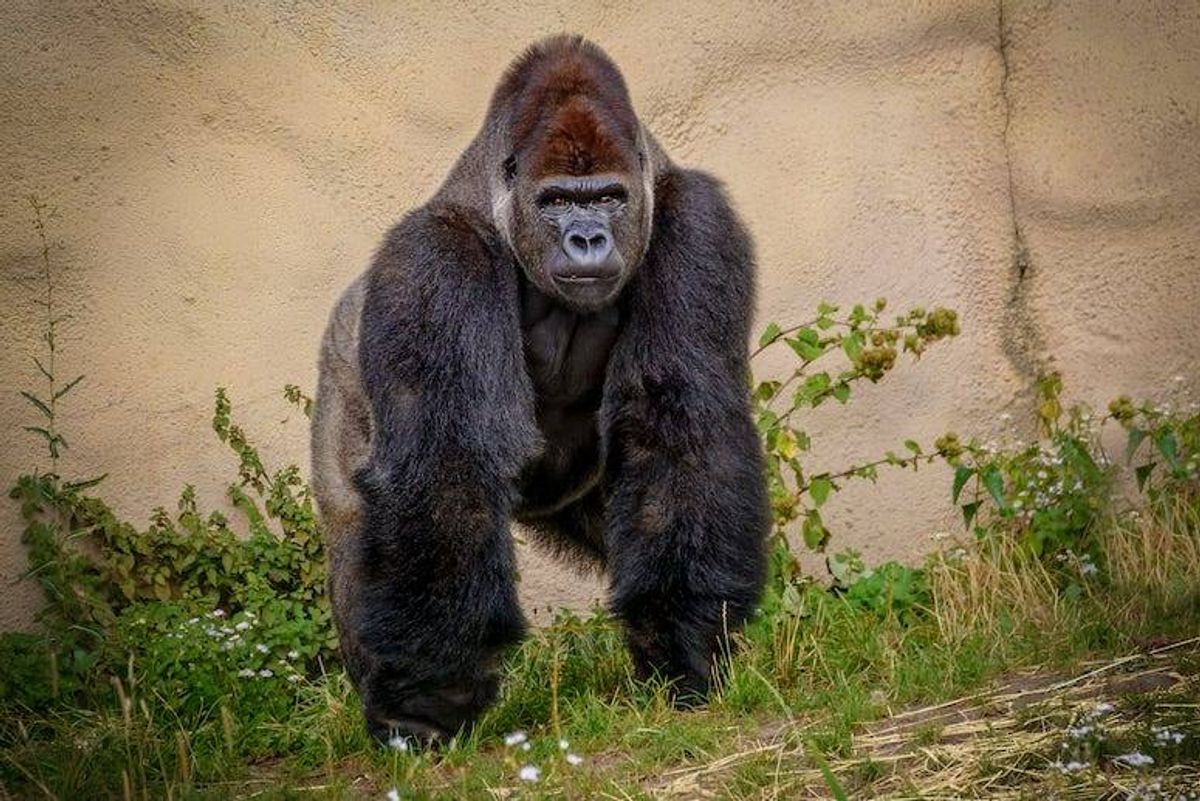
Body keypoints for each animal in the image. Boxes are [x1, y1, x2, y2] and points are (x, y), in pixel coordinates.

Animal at [311, 35, 768, 744]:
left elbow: (677, 428)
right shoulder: (436, 258)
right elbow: (447, 466)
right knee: (359, 527)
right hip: (337, 379)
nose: (588, 239)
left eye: (607, 197)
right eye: (555, 202)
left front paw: (682, 646)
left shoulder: (698, 222)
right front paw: (427, 700)